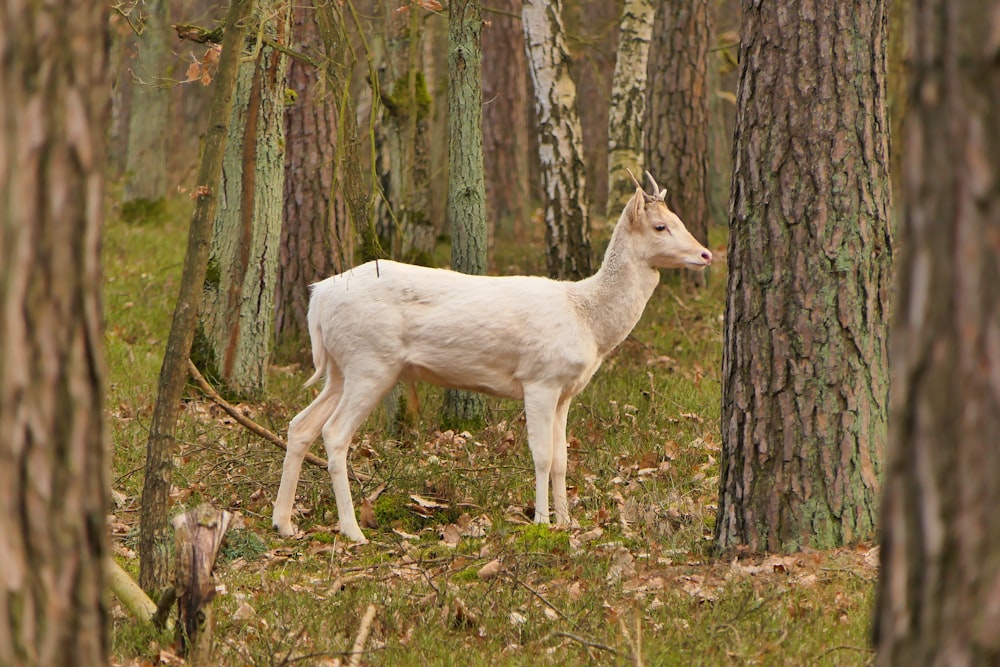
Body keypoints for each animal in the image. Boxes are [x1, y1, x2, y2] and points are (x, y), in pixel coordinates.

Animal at [274, 172, 712, 544]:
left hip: (340, 368)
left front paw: (568, 521)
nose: (706, 254)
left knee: (300, 425)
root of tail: (318, 298)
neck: (587, 318)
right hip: (371, 361)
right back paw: (353, 531)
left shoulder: (566, 391)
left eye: (677, 218)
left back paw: (284, 523)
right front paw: (542, 522)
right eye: (660, 226)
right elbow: (541, 455)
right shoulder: (539, 379)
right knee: (334, 433)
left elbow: (562, 458)